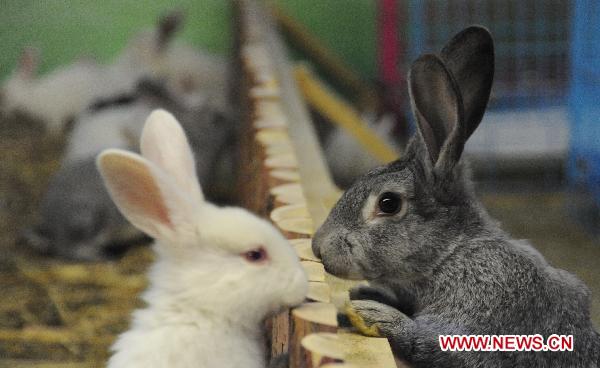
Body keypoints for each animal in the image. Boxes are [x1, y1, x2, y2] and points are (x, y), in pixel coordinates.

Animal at [312, 26, 596, 368]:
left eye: (388, 204)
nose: (318, 247)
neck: (449, 254)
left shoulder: (487, 309)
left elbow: (437, 344)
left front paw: (377, 315)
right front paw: (366, 297)